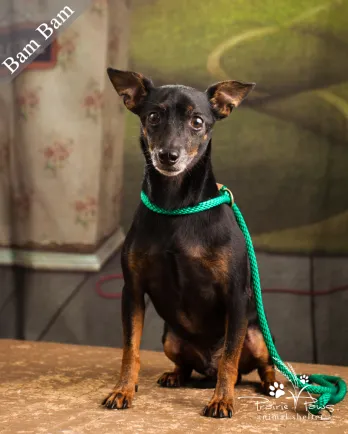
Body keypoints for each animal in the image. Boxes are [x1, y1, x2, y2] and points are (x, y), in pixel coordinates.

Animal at [102, 69, 276, 418]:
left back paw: (270, 385)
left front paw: (222, 401)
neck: (175, 206)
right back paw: (174, 375)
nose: (168, 155)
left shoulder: (236, 295)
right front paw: (123, 390)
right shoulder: (132, 292)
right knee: (186, 364)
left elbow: (229, 360)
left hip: (256, 335)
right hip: (170, 337)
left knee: (257, 365)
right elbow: (130, 349)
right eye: (153, 116)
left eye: (197, 121)